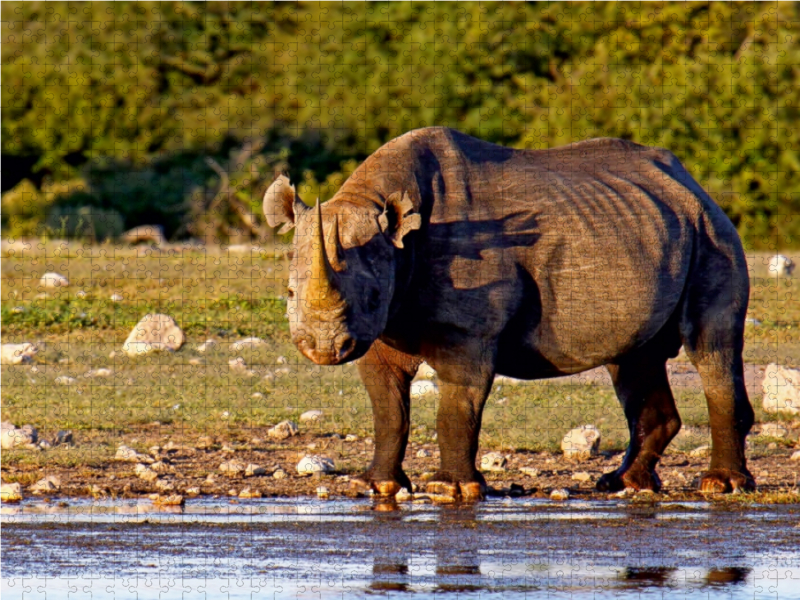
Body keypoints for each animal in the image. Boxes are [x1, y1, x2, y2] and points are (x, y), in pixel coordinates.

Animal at [264, 127, 756, 502]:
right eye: (289, 291)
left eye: (370, 295)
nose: (323, 348)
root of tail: (693, 185)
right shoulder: (378, 333)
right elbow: (387, 407)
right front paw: (377, 485)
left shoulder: (466, 334)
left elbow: (457, 405)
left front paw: (451, 491)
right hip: (651, 229)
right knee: (635, 358)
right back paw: (622, 484)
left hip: (712, 233)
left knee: (712, 347)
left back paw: (720, 486)